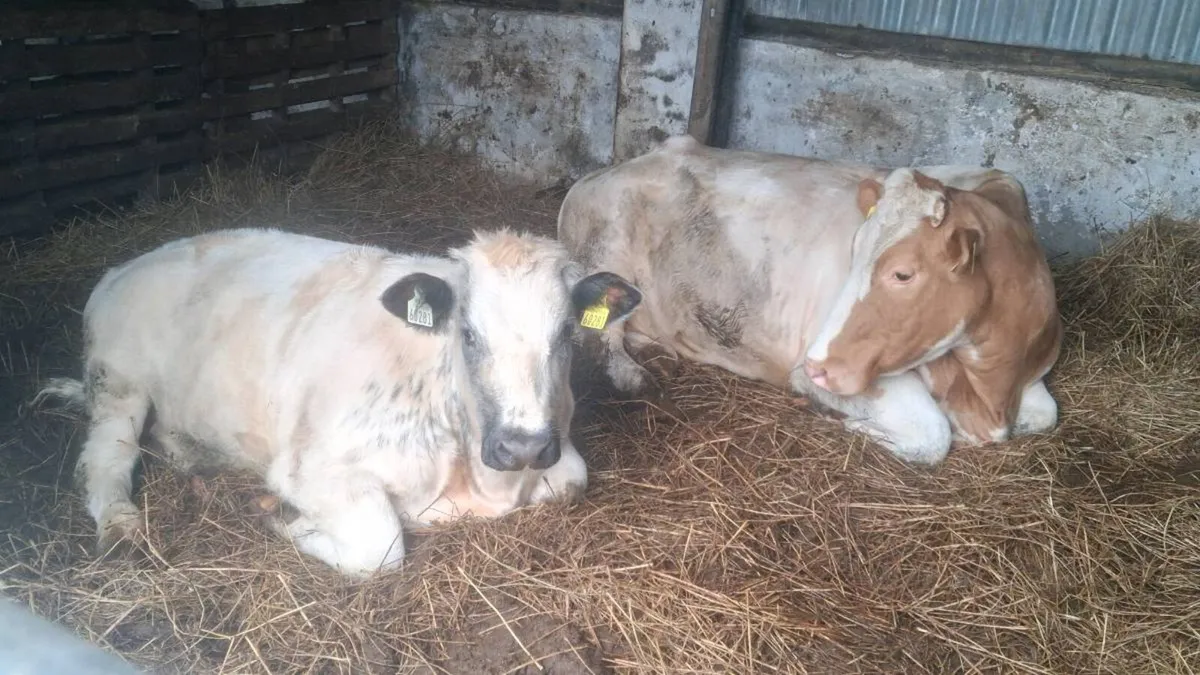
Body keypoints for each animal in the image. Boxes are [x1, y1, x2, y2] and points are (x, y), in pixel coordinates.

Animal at [31, 227, 642, 577]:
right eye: (468, 334)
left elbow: (573, 480)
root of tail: (124, 267)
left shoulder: (558, 448)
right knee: (105, 459)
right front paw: (287, 521)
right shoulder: (311, 467)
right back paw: (120, 524)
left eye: (566, 332)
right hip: (119, 381)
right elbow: (380, 547)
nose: (522, 446)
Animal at [557, 135, 1062, 465]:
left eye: (903, 273)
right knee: (601, 339)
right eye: (854, 251)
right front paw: (845, 421)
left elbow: (1045, 414)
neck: (988, 394)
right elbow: (933, 434)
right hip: (605, 254)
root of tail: (607, 170)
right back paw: (637, 374)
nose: (820, 367)